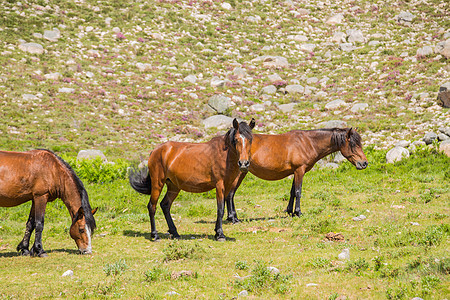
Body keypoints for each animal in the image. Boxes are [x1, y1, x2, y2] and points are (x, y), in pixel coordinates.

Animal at [225, 126, 370, 223]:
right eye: (353, 144)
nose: (364, 163)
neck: (308, 142)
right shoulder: (300, 170)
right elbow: (298, 191)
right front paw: (298, 212)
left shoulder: (295, 172)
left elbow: (292, 191)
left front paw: (290, 211)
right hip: (239, 173)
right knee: (230, 194)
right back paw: (233, 218)